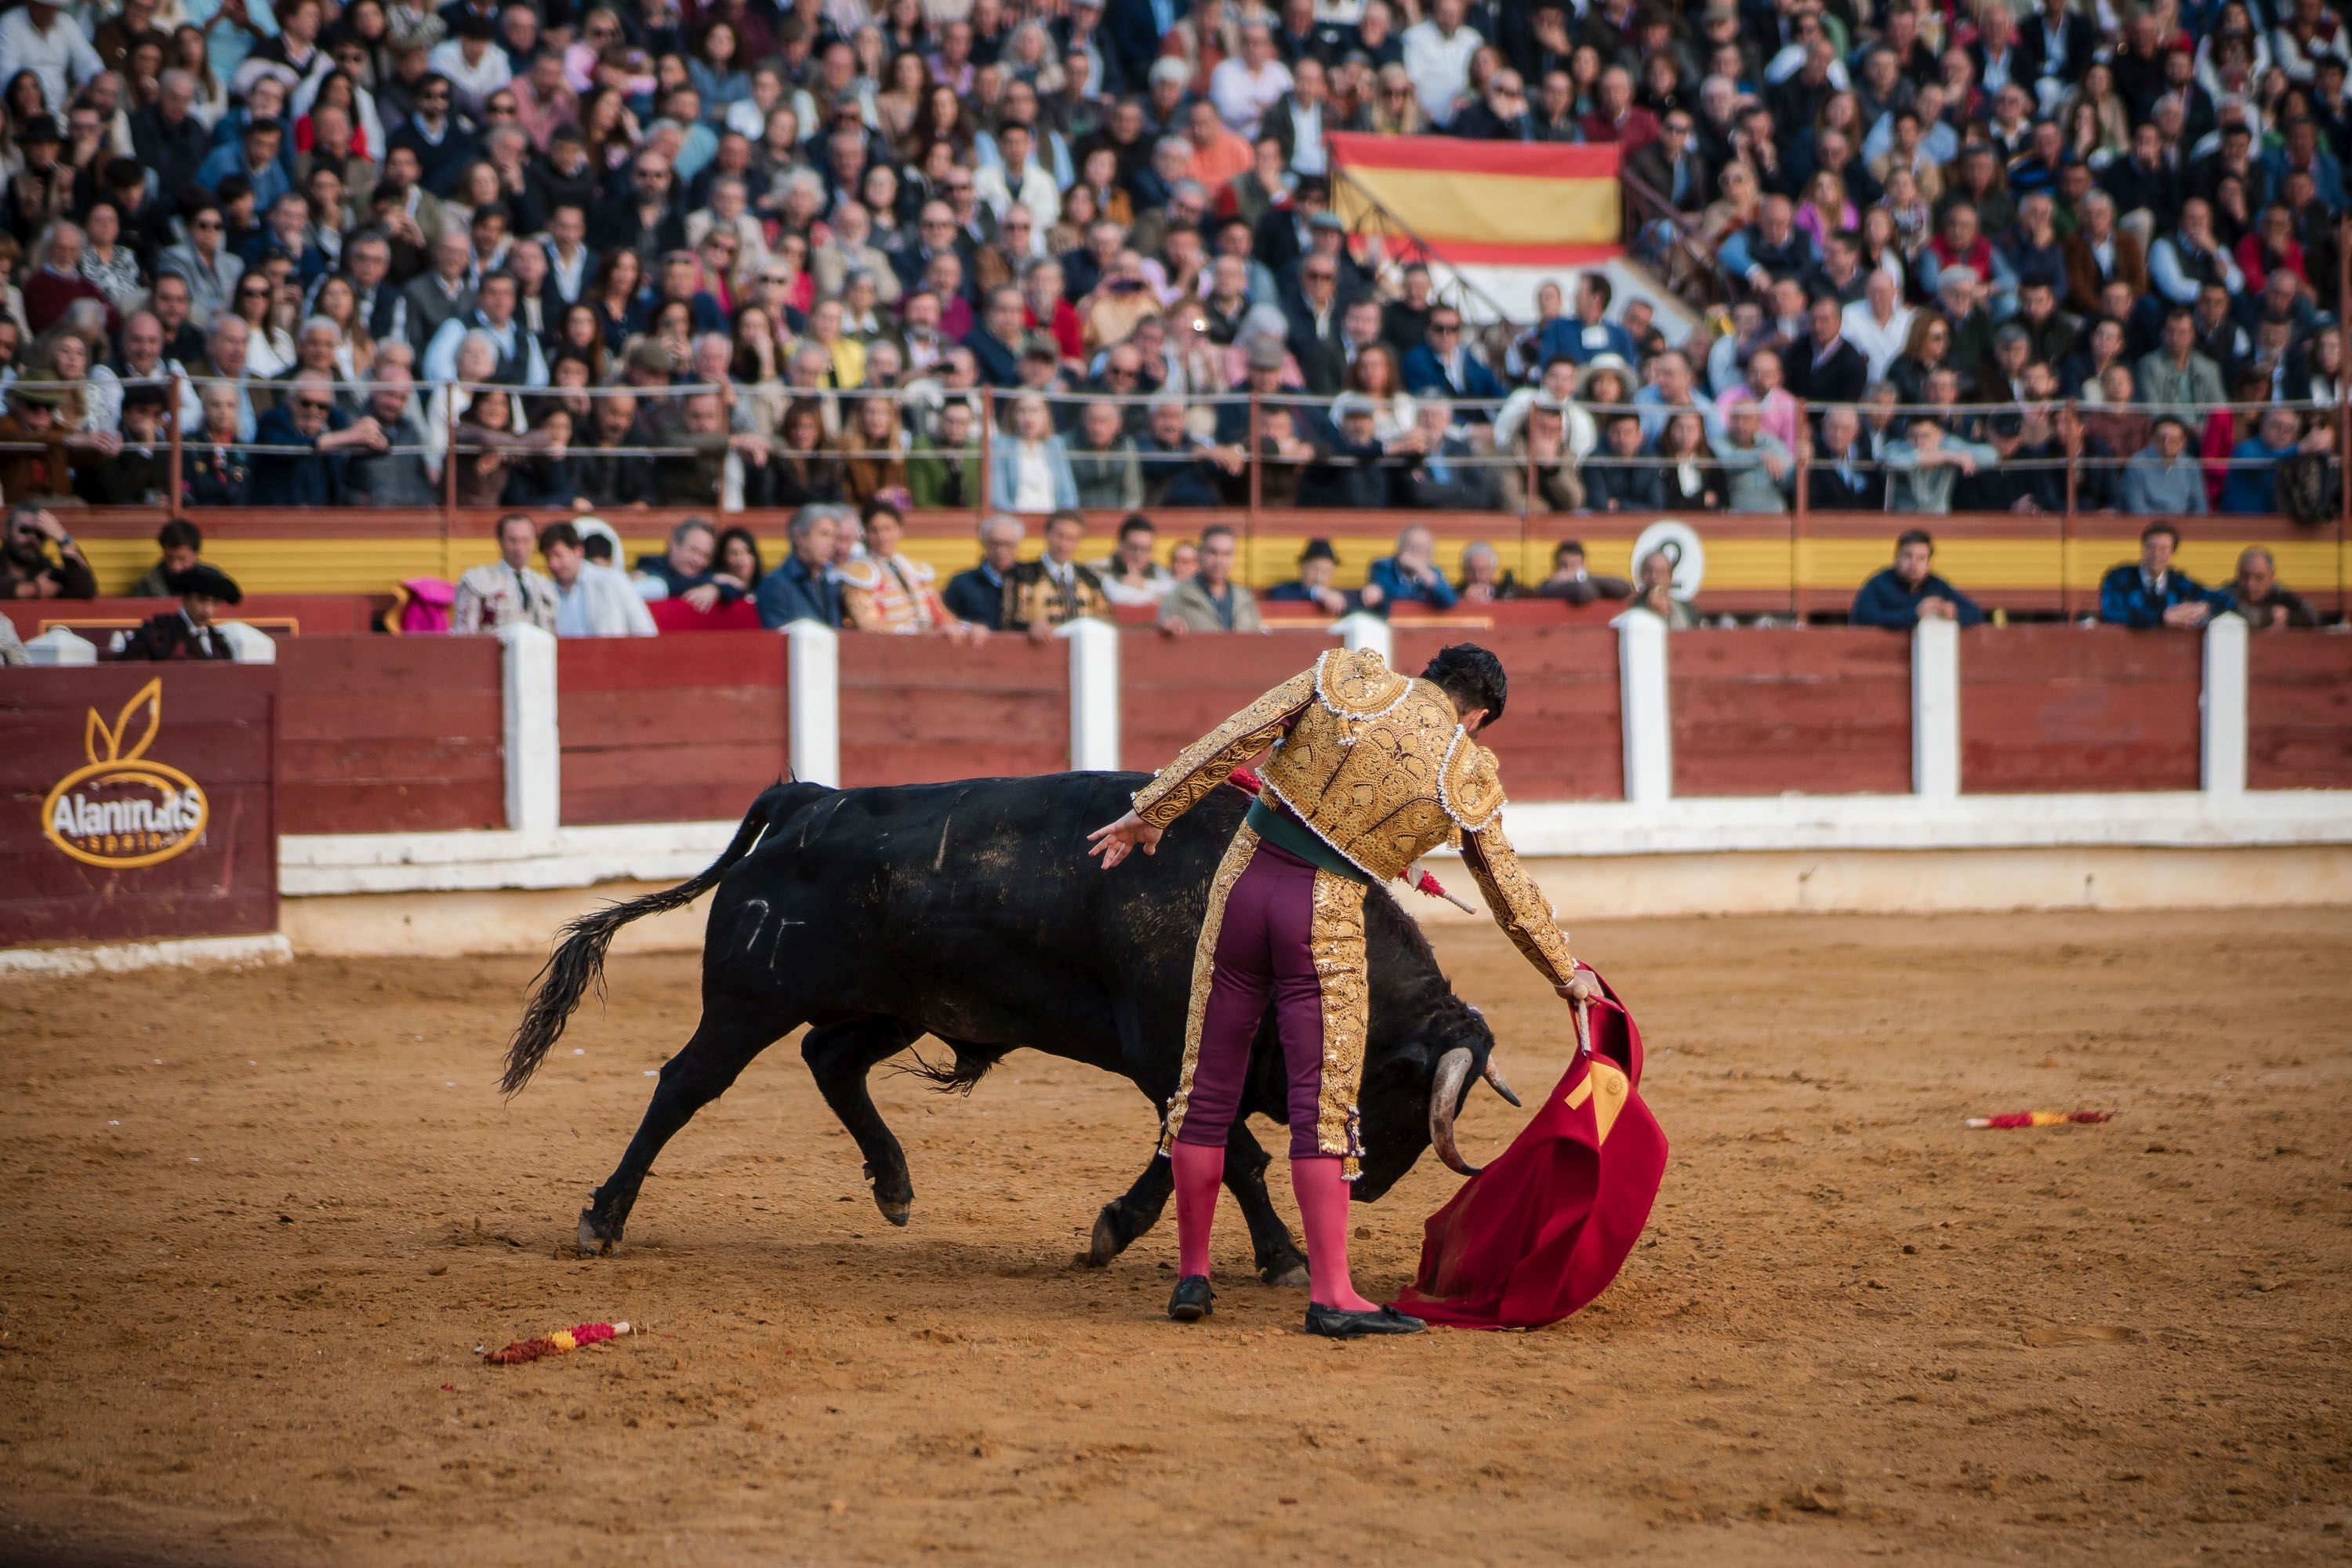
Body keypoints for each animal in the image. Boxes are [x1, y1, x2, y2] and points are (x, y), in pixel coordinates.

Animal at [503, 771, 1515, 1288]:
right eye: (1407, 1089)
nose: (1370, 1184)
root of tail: (807, 797)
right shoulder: (1166, 1048)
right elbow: (1231, 1152)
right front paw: (1286, 1257)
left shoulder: (1177, 1063)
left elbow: (1192, 1152)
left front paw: (1120, 1229)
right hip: (749, 1000)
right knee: (684, 1084)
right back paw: (602, 1217)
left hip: (895, 1002)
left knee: (829, 1058)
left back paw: (895, 1184)